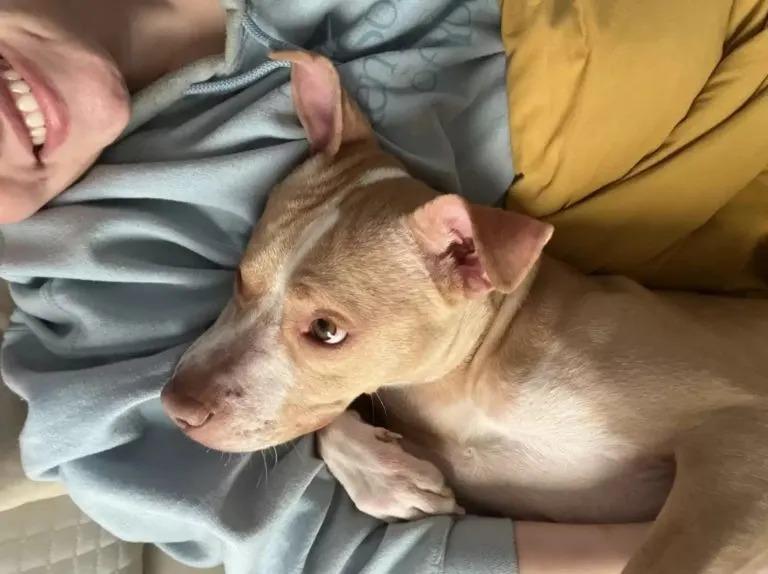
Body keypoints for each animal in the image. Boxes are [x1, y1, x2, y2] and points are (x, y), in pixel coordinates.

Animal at [162, 51, 768, 572]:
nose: (174, 406)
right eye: (241, 278)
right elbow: (327, 421)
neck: (468, 384)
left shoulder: (739, 431)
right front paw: (388, 478)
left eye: (327, 331)